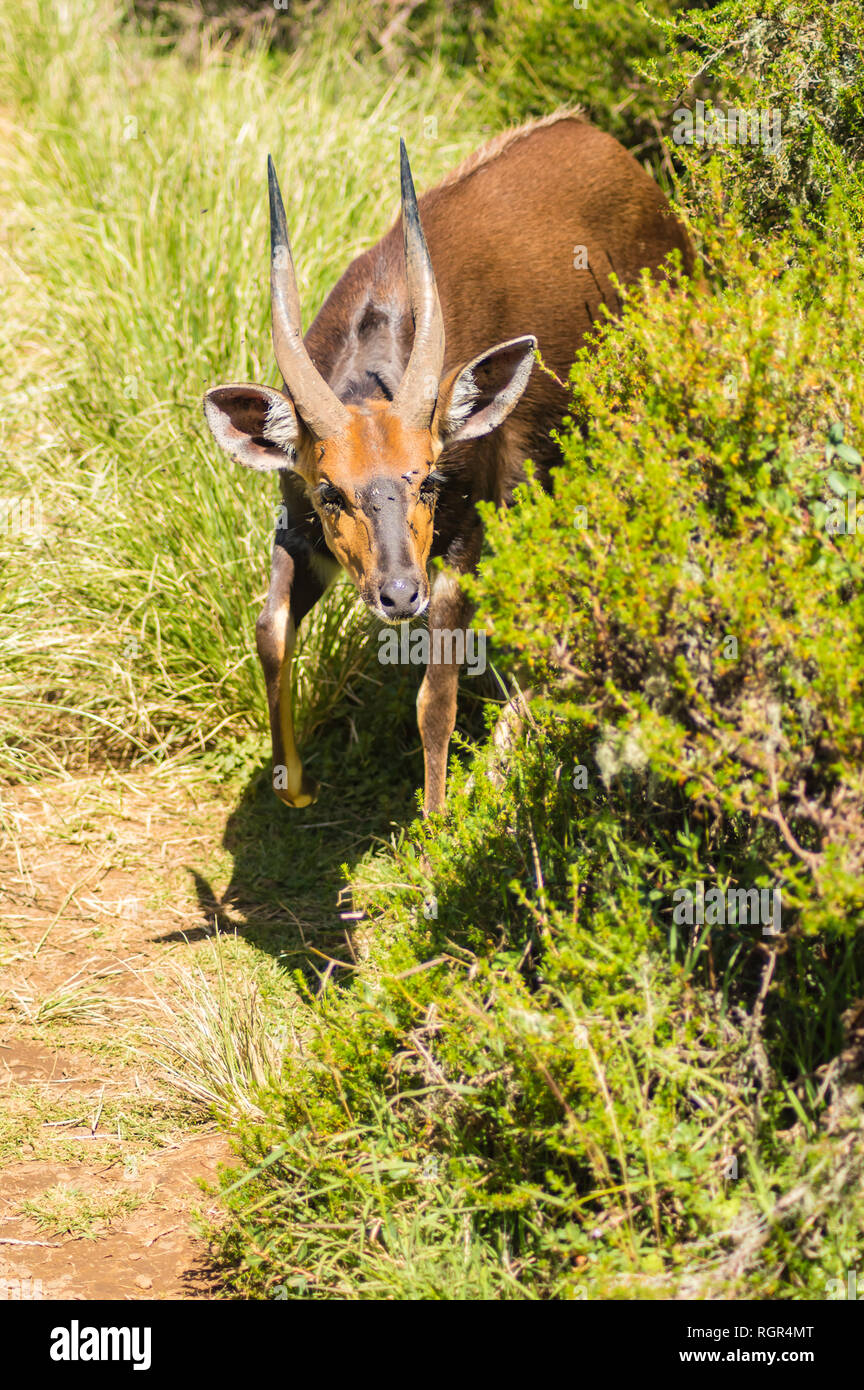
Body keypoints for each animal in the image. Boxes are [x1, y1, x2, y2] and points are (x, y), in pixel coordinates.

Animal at [204, 119, 697, 817]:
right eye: (330, 492)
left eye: (430, 478)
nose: (397, 593)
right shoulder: (296, 527)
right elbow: (271, 630)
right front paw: (295, 786)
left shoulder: (468, 536)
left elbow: (435, 694)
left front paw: (438, 826)